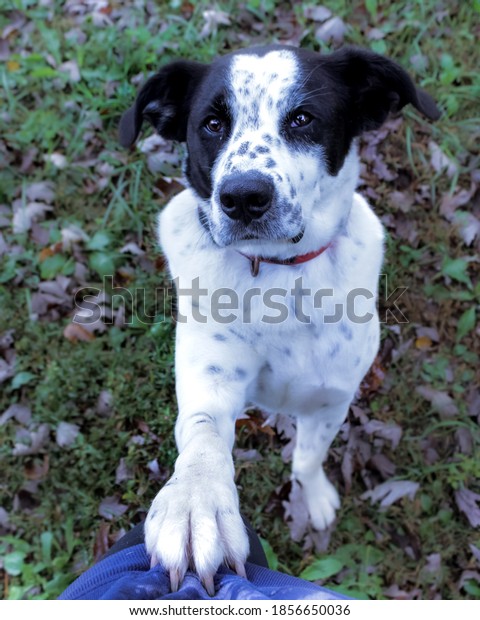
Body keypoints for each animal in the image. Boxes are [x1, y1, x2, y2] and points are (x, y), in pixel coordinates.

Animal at [120, 44, 438, 596]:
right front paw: (195, 505)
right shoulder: (210, 382)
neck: (279, 275)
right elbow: (203, 435)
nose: (244, 197)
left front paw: (314, 499)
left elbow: (308, 457)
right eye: (211, 124)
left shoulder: (332, 399)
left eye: (303, 118)